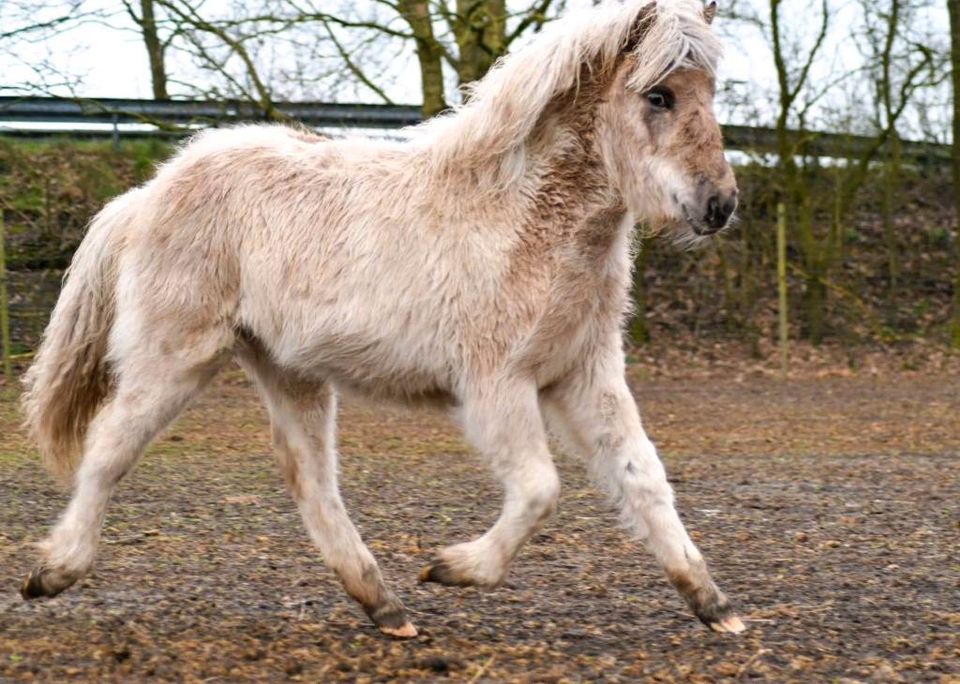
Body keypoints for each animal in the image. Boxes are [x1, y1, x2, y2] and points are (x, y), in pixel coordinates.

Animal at [20, 0, 744, 640]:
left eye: (712, 91)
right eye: (659, 96)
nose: (719, 205)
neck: (522, 219)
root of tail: (147, 195)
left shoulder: (584, 376)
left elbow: (643, 480)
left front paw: (715, 606)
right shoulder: (495, 386)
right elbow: (541, 488)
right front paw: (455, 568)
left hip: (288, 371)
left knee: (310, 481)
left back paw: (385, 609)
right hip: (175, 357)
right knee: (110, 446)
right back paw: (53, 572)